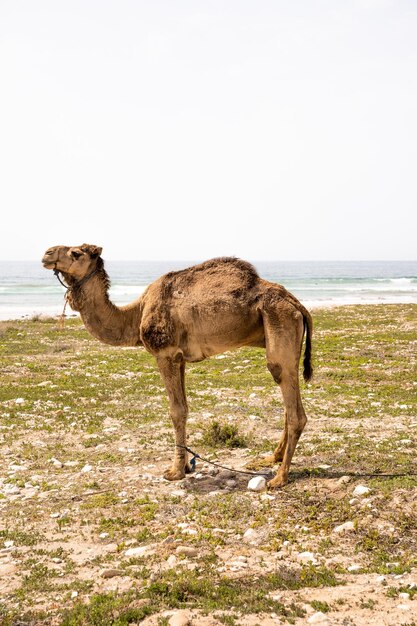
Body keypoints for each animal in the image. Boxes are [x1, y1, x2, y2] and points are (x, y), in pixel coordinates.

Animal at [42, 244, 312, 488]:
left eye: (76, 253)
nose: (46, 253)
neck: (136, 314)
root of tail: (296, 303)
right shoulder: (180, 358)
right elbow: (184, 407)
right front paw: (185, 466)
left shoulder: (166, 353)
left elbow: (176, 411)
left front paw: (174, 472)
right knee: (288, 398)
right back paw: (272, 458)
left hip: (279, 319)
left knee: (290, 398)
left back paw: (279, 478)